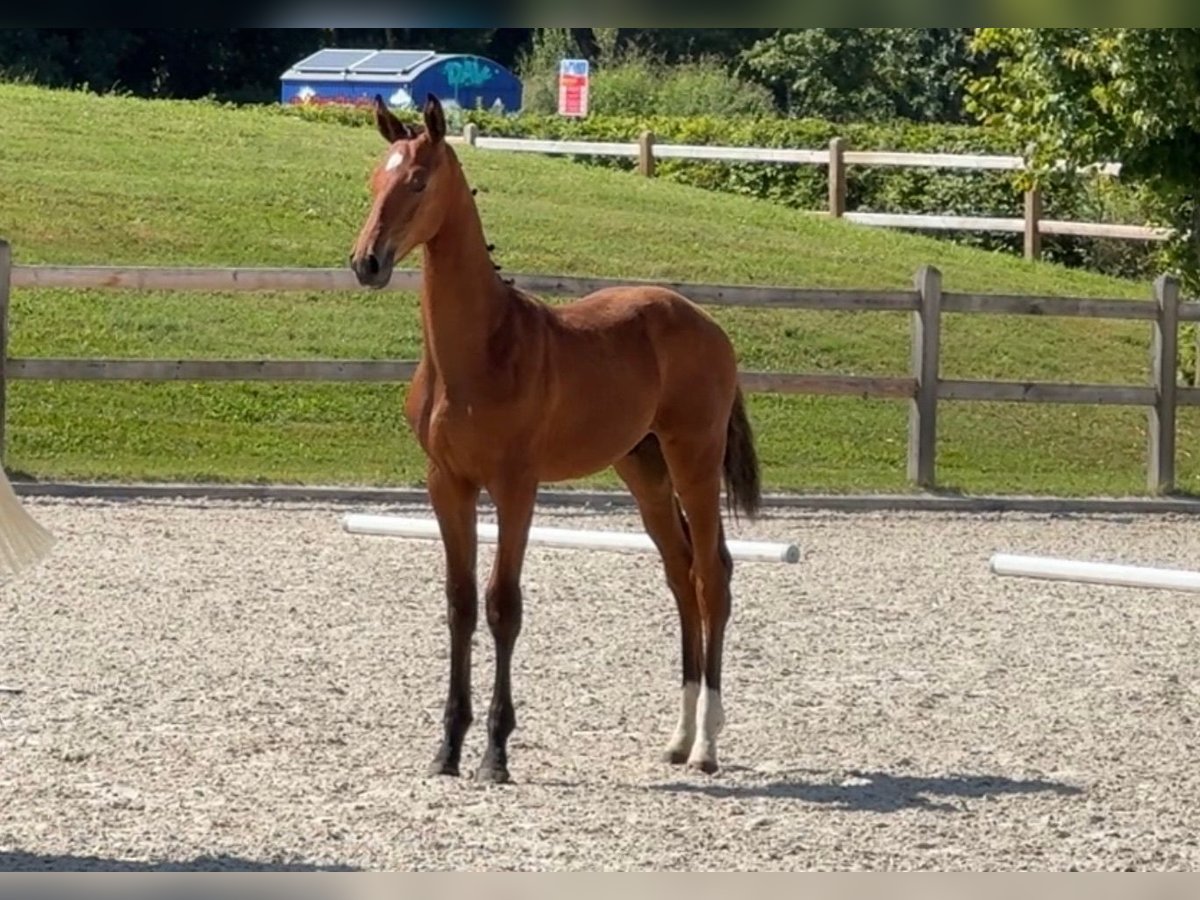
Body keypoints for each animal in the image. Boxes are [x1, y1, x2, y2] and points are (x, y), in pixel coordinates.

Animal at [350, 91, 758, 782]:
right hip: (643, 469)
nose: (366, 262)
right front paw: (447, 749)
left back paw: (706, 744)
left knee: (712, 576)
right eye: (376, 178)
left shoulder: (517, 486)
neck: (480, 352)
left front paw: (495, 752)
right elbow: (460, 603)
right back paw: (676, 739)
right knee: (679, 574)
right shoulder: (447, 484)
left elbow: (502, 604)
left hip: (693, 460)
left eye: (419, 180)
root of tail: (708, 325)